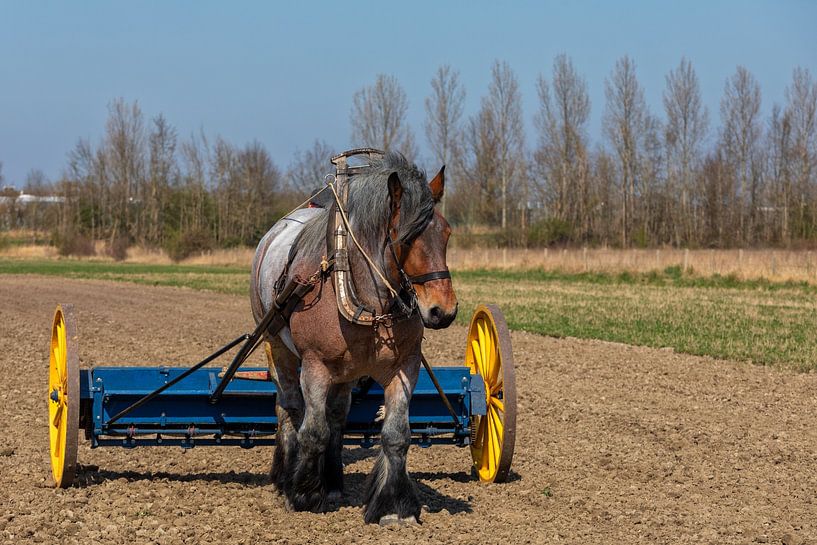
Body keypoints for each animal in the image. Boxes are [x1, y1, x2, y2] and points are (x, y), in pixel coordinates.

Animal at [250, 151, 458, 524]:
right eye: (406, 237)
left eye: (446, 233)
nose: (442, 311)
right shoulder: (314, 366)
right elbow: (313, 431)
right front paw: (303, 494)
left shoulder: (405, 366)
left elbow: (396, 434)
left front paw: (394, 506)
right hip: (278, 346)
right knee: (289, 407)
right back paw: (286, 477)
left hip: (345, 371)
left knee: (336, 417)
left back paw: (332, 482)